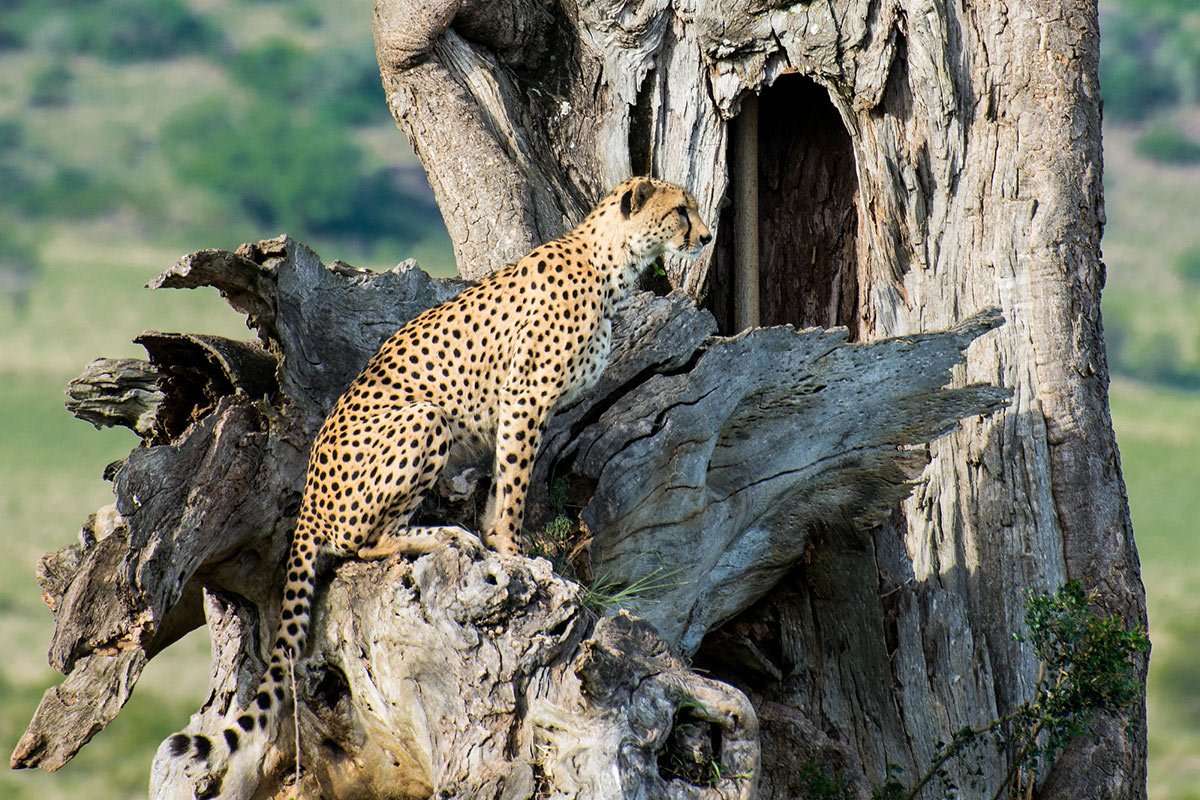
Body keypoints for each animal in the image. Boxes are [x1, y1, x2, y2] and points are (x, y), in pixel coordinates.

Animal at [160, 176, 712, 797]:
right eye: (679, 211)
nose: (705, 235)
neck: (607, 264)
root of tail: (307, 500)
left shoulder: (520, 408)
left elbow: (503, 484)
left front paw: (504, 544)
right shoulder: (524, 399)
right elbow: (515, 486)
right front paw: (513, 553)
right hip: (426, 418)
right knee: (356, 542)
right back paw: (436, 536)